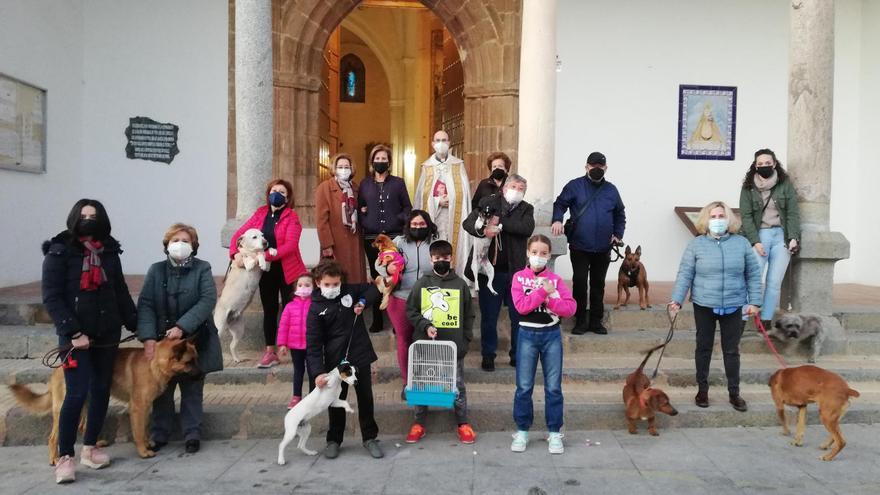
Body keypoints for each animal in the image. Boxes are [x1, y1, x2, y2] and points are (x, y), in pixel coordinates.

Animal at [8, 338, 199, 464]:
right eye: (190, 362)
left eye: (196, 359)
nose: (202, 373)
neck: (156, 363)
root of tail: (60, 365)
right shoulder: (138, 407)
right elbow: (138, 431)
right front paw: (143, 451)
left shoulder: (145, 407)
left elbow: (144, 429)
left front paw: (146, 445)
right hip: (65, 407)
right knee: (53, 437)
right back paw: (55, 458)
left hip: (87, 404)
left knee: (83, 426)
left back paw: (95, 445)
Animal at [214, 230, 272, 364]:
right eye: (254, 237)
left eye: (262, 235)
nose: (265, 242)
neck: (249, 250)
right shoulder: (248, 264)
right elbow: (258, 255)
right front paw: (261, 256)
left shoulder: (267, 268)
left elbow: (265, 259)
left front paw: (272, 251)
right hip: (219, 328)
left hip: (239, 330)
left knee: (231, 346)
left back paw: (236, 359)